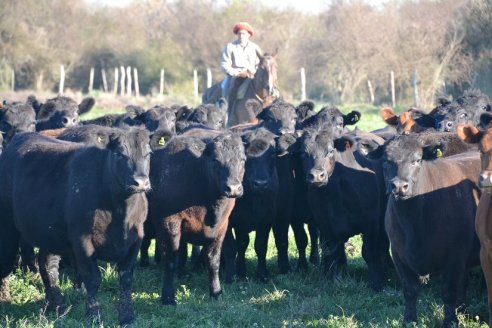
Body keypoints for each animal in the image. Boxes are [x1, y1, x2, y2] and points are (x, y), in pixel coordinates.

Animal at [0, 128, 156, 326]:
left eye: (148, 153)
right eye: (120, 154)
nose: (140, 182)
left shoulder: (136, 239)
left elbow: (126, 278)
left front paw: (127, 317)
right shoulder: (83, 240)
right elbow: (92, 278)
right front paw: (93, 316)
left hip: (50, 233)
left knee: (47, 264)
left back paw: (56, 305)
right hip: (7, 228)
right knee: (6, 262)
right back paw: (5, 300)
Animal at [146, 131, 246, 304]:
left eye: (243, 159)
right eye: (215, 160)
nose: (233, 188)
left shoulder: (222, 227)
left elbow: (213, 261)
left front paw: (216, 292)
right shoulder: (168, 223)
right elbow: (170, 260)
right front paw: (168, 298)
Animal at [380, 133, 480, 326]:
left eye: (417, 160)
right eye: (386, 161)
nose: (399, 186)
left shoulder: (454, 256)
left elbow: (448, 292)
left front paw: (450, 322)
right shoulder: (398, 254)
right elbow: (410, 290)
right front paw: (409, 321)